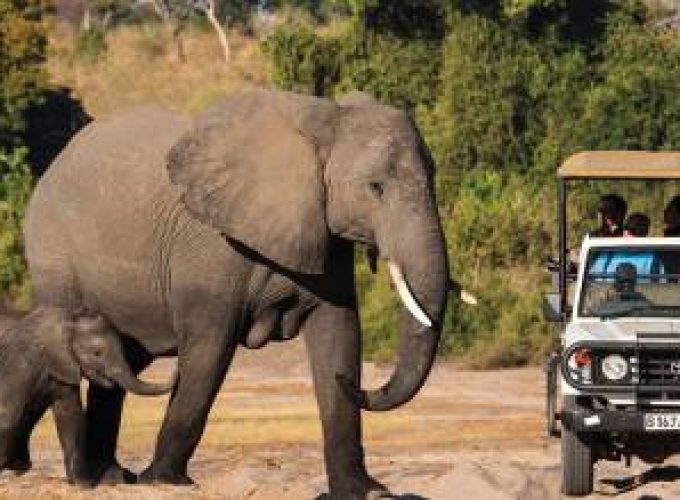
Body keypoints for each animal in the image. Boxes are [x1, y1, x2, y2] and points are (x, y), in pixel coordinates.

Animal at [0, 306, 175, 482]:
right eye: (97, 353)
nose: (176, 367)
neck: (69, 321)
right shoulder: (22, 365)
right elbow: (9, 412)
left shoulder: (63, 368)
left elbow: (70, 414)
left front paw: (82, 483)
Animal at [26, 89, 462, 496]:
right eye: (375, 188)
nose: (356, 385)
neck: (320, 125)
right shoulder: (211, 247)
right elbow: (209, 352)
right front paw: (165, 481)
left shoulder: (324, 235)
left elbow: (339, 334)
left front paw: (366, 492)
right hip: (52, 257)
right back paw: (97, 479)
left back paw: (112, 478)